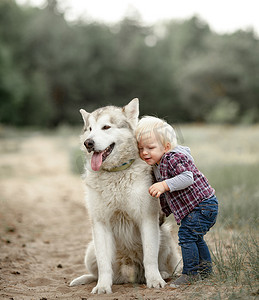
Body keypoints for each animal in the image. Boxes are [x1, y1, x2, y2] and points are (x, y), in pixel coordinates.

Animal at [70, 98, 182, 292]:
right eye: (90, 129)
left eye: (106, 127)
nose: (88, 143)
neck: (116, 173)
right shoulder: (100, 222)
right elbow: (104, 263)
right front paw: (102, 287)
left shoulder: (147, 218)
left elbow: (150, 258)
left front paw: (155, 281)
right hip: (90, 250)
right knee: (97, 272)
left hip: (164, 235)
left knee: (165, 267)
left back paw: (162, 274)